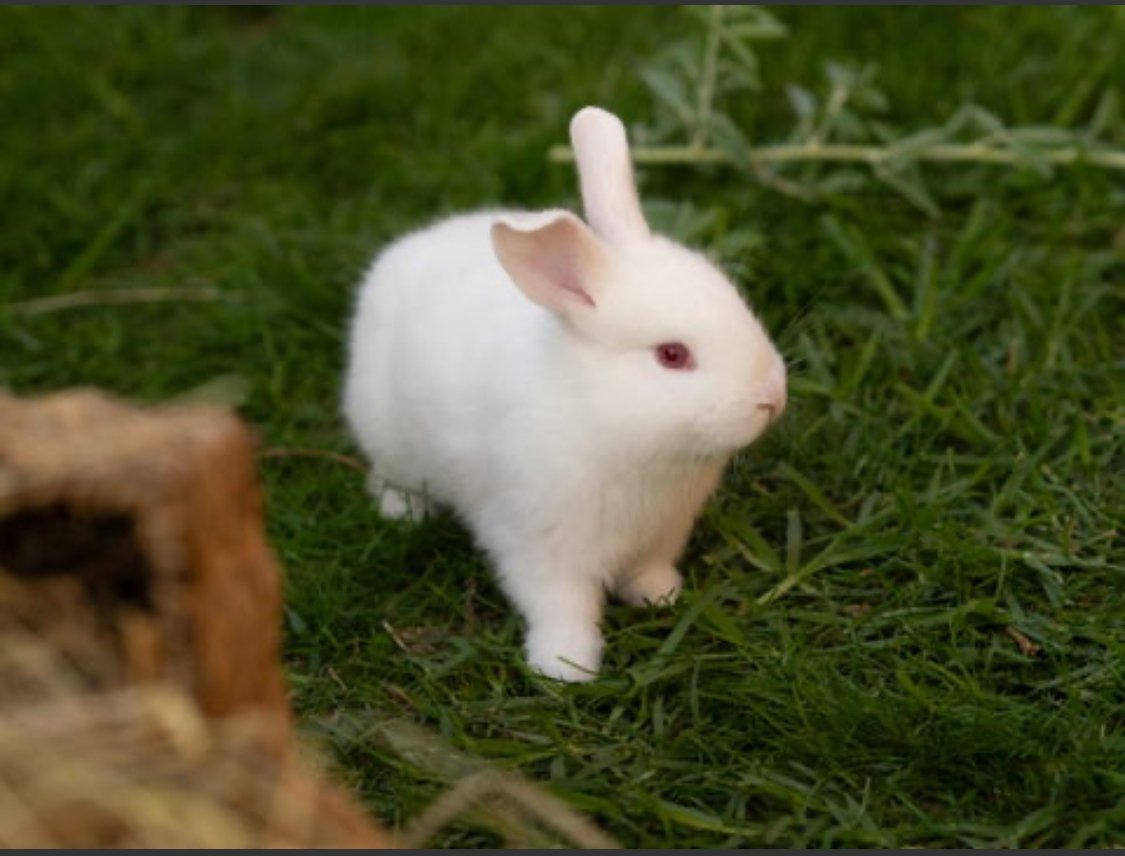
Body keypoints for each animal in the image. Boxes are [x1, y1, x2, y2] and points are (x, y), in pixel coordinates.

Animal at [341, 106, 787, 682]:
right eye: (672, 355)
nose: (772, 396)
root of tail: (408, 248)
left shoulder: (662, 533)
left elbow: (647, 570)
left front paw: (662, 596)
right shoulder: (540, 546)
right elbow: (561, 606)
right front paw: (566, 667)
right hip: (388, 436)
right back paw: (403, 513)